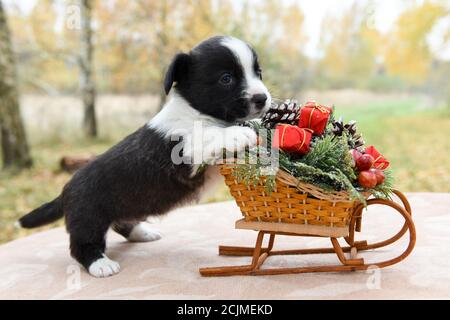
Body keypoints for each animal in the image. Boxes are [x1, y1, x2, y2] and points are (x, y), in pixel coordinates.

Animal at [17, 36, 270, 278]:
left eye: (258, 72)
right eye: (226, 78)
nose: (262, 98)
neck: (196, 111)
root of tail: (64, 190)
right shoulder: (184, 155)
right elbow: (207, 136)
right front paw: (238, 133)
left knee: (121, 223)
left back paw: (142, 232)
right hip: (88, 219)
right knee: (82, 246)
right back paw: (101, 265)